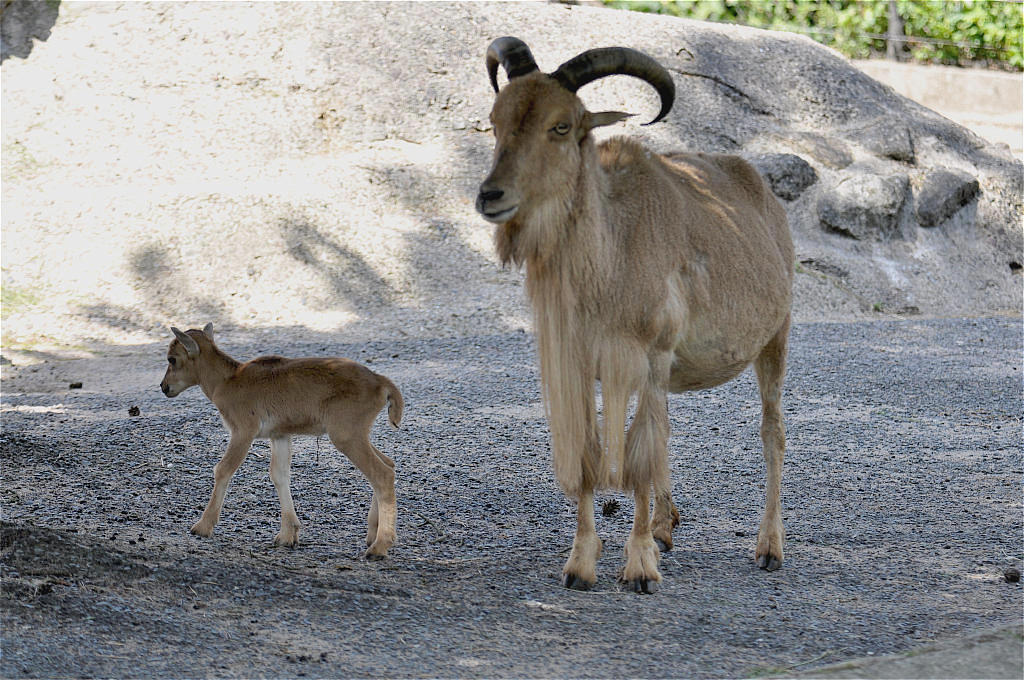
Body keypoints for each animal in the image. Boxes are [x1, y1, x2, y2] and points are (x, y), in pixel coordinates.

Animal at [159, 324, 402, 559]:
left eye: (172, 359)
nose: (164, 387)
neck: (227, 381)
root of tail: (381, 383)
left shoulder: (243, 431)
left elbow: (223, 469)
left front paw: (202, 526)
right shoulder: (280, 435)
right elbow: (279, 475)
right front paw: (287, 535)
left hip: (346, 434)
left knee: (381, 474)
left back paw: (379, 547)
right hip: (357, 433)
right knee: (389, 464)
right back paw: (371, 535)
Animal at [476, 37, 794, 592]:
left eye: (562, 126)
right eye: (497, 121)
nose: (491, 196)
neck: (611, 258)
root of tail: (764, 195)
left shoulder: (649, 356)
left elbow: (639, 459)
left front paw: (640, 565)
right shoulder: (584, 364)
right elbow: (593, 456)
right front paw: (581, 563)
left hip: (775, 338)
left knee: (770, 434)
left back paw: (768, 547)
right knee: (666, 434)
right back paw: (667, 525)